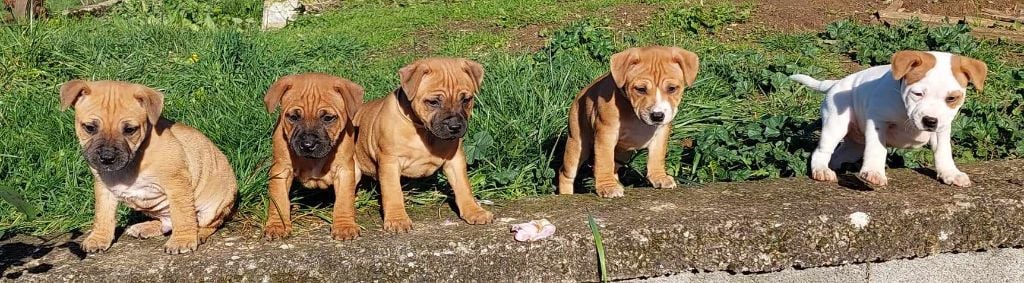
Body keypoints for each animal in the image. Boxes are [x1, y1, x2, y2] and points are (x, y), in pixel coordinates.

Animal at [62, 79, 239, 254]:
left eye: (130, 130)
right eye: (89, 128)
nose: (107, 157)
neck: (132, 162)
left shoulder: (177, 185)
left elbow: (182, 215)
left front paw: (182, 240)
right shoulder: (104, 188)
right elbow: (102, 215)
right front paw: (98, 238)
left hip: (214, 207)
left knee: (206, 224)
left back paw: (198, 234)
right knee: (166, 224)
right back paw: (146, 227)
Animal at [262, 71, 366, 239]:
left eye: (328, 118)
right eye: (293, 117)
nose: (308, 144)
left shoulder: (344, 170)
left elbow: (344, 200)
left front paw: (344, 226)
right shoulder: (281, 170)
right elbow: (278, 199)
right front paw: (278, 225)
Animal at [354, 57, 493, 231]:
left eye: (466, 100)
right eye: (433, 102)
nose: (455, 126)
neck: (424, 131)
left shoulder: (455, 160)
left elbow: (463, 187)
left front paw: (474, 211)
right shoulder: (390, 162)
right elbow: (393, 192)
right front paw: (397, 219)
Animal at [557, 45, 700, 196]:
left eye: (672, 88)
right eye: (640, 89)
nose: (657, 115)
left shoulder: (661, 133)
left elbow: (657, 156)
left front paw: (659, 177)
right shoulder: (606, 135)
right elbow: (604, 161)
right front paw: (607, 187)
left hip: (622, 154)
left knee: (613, 166)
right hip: (577, 145)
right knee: (566, 173)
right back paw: (567, 194)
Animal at [790, 50, 983, 187]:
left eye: (952, 98)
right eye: (917, 93)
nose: (930, 121)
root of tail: (835, 83)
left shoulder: (941, 129)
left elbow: (943, 151)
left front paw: (951, 173)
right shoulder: (878, 121)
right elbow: (877, 148)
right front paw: (874, 172)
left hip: (854, 146)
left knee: (838, 155)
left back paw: (836, 168)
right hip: (836, 125)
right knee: (821, 151)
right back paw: (822, 170)